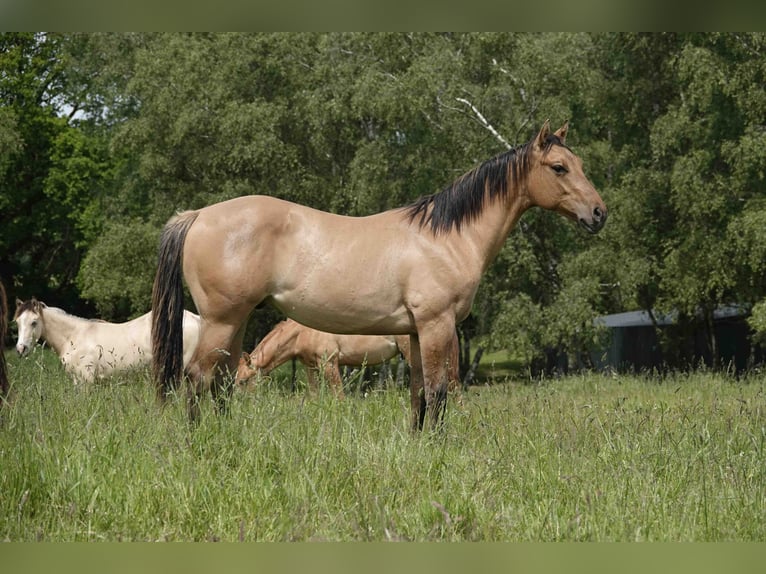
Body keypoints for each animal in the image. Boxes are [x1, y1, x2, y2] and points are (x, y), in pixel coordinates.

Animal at [236, 318, 462, 398]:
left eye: (243, 381)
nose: (240, 400)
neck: (301, 332)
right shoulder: (311, 367)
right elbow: (314, 395)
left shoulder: (330, 364)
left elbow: (339, 396)